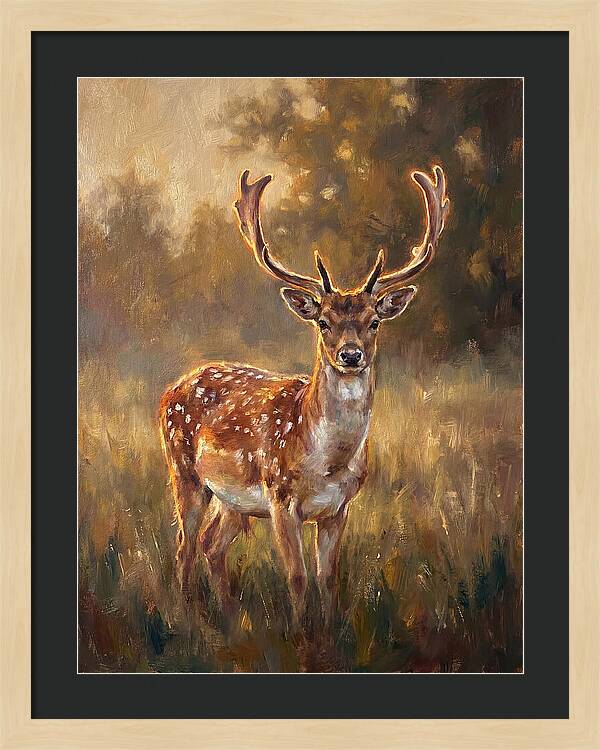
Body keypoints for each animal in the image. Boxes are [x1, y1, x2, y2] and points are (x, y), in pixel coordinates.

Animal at [159, 165, 449, 630]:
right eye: (323, 321)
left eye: (373, 321)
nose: (351, 355)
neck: (327, 463)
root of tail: (172, 388)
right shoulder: (281, 498)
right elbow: (296, 577)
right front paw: (299, 634)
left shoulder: (338, 508)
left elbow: (327, 577)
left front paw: (328, 632)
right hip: (184, 472)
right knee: (185, 546)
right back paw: (188, 618)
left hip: (233, 500)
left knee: (210, 544)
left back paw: (229, 617)